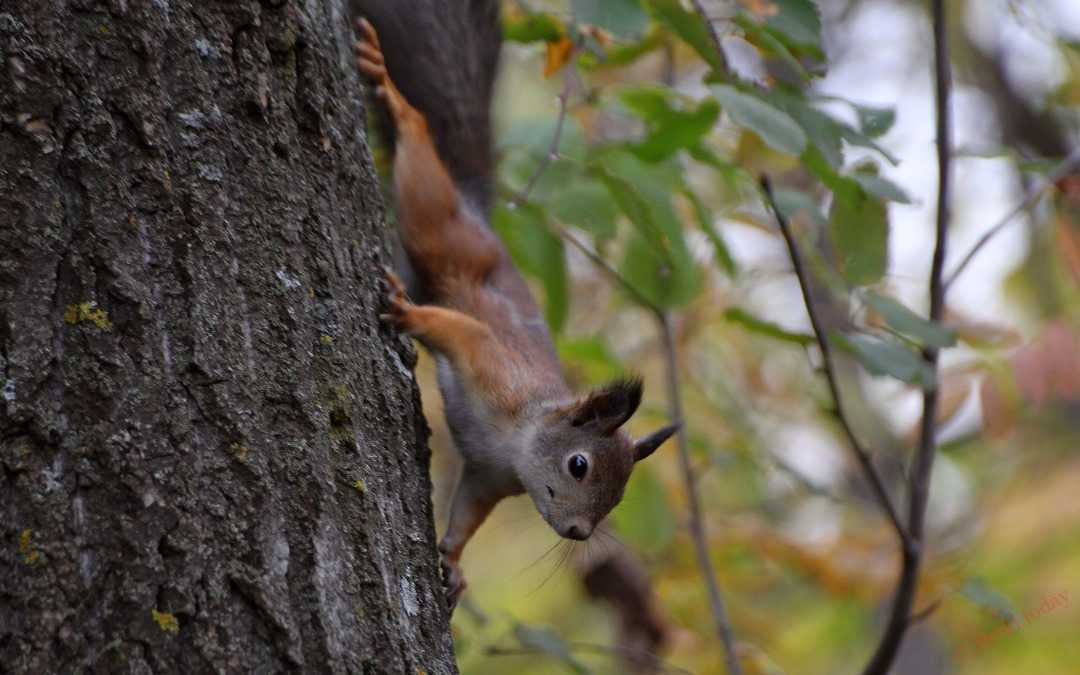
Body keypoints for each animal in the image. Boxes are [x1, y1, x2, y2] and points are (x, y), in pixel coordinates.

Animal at [354, 1, 673, 609]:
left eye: (620, 496)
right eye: (579, 465)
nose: (578, 532)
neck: (517, 445)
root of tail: (480, 216)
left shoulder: (487, 478)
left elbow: (466, 515)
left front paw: (453, 561)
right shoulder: (493, 367)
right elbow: (461, 332)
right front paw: (408, 316)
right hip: (446, 237)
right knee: (423, 171)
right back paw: (395, 97)